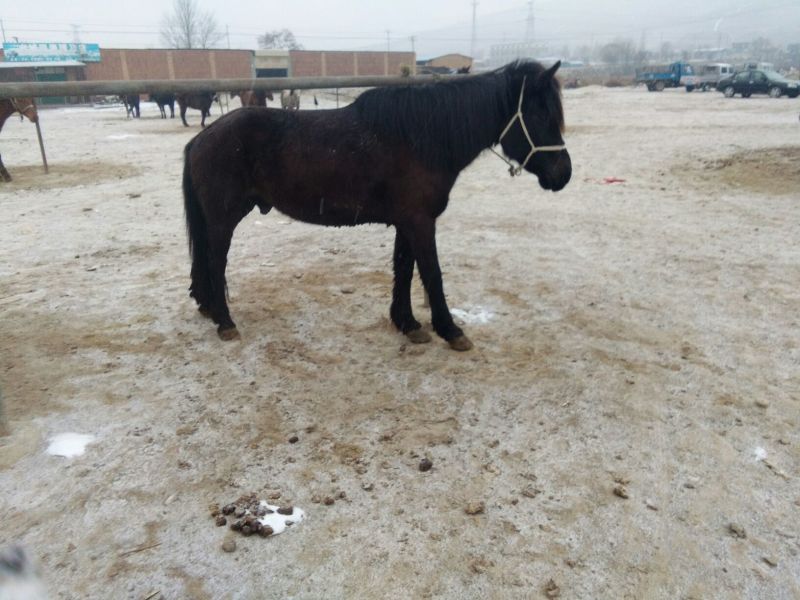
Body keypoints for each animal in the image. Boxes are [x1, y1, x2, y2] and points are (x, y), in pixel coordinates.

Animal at [182, 60, 571, 349]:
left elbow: (403, 269)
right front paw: (450, 330)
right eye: (541, 116)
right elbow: (431, 273)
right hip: (223, 219)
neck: (421, 137)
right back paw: (225, 322)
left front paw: (407, 323)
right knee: (215, 263)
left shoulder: (407, 221)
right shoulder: (420, 222)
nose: (563, 174)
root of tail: (202, 138)